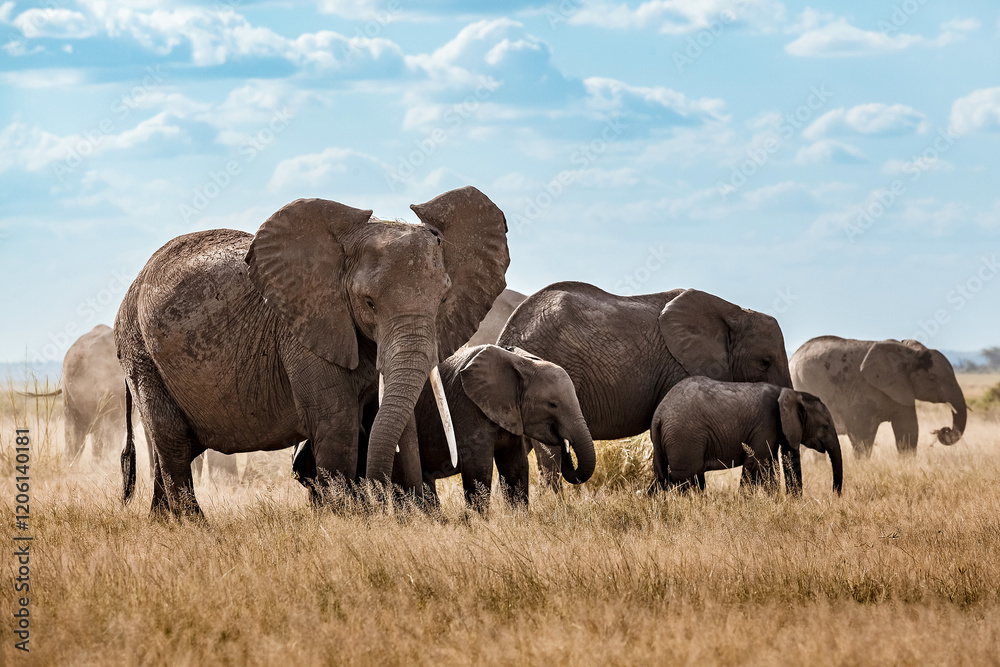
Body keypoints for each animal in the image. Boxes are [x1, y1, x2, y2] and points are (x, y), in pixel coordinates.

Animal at [116, 186, 509, 518]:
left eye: (443, 299)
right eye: (368, 303)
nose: (384, 502)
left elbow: (393, 417)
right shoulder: (304, 330)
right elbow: (337, 424)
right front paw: (350, 521)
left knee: (170, 449)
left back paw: (164, 524)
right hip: (141, 353)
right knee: (172, 442)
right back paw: (196, 527)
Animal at [649, 377, 843, 495]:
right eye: (825, 426)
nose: (834, 495)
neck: (791, 393)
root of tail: (659, 415)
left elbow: (767, 467)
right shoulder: (766, 424)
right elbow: (757, 465)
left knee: (661, 478)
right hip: (685, 439)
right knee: (687, 479)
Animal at [789, 337, 966, 458]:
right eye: (932, 379)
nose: (942, 430)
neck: (908, 354)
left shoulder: (902, 390)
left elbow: (908, 431)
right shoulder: (864, 389)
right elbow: (861, 433)